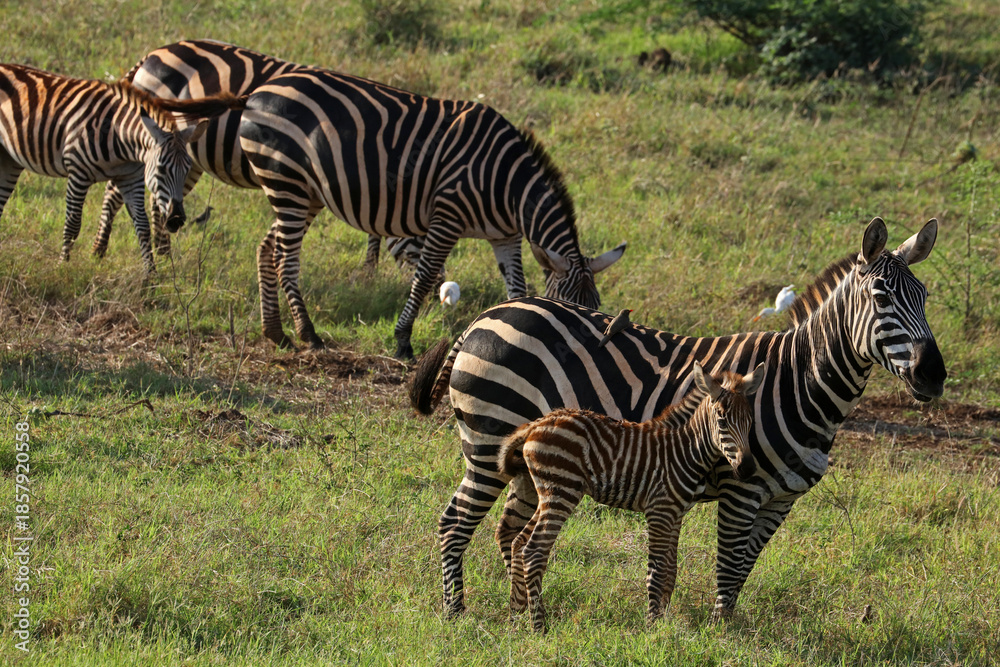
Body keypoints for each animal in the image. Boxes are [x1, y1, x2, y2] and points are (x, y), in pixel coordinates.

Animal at [0, 63, 240, 273]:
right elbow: (73, 223)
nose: (176, 220)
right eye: (161, 169)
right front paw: (62, 267)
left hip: (9, 160)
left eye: (187, 170)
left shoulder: (131, 178)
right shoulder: (77, 173)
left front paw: (151, 278)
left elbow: (142, 226)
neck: (120, 138)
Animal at [92, 39, 425, 275]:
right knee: (116, 190)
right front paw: (369, 270)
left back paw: (164, 256)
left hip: (187, 154)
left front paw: (369, 270)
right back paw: (100, 251)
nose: (433, 300)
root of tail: (153, 53)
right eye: (419, 231)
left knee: (156, 198)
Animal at [237, 66, 626, 357]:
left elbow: (517, 289)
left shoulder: (506, 238)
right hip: (286, 181)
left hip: (304, 192)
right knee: (286, 258)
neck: (508, 186)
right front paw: (403, 341)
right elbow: (424, 277)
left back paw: (276, 333)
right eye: (567, 306)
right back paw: (308, 334)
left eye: (597, 305)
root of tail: (259, 91)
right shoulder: (447, 217)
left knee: (268, 248)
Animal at [499, 362, 763, 632]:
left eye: (750, 420)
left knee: (518, 543)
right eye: (721, 419)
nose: (747, 469)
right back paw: (539, 627)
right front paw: (652, 627)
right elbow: (656, 572)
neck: (685, 449)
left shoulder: (676, 513)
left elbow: (670, 571)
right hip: (562, 492)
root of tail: (537, 423)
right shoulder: (659, 511)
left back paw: (516, 616)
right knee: (534, 551)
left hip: (544, 493)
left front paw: (663, 622)